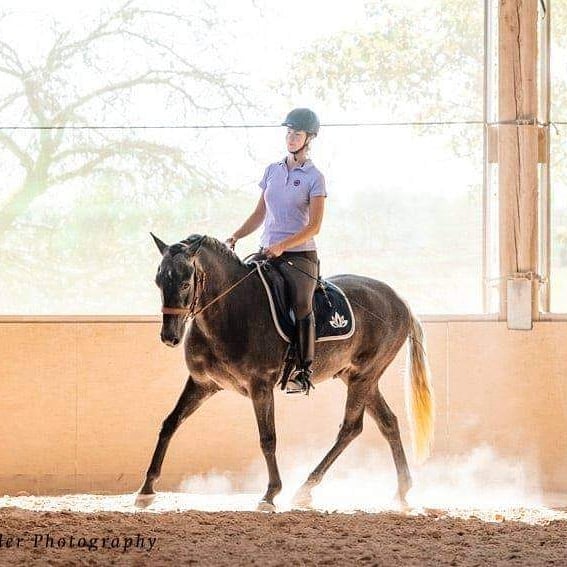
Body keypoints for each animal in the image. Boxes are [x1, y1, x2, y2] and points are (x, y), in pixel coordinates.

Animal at [136, 233, 434, 512]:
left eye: (186, 283)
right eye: (158, 281)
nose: (170, 337)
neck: (231, 311)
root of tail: (400, 300)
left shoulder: (260, 385)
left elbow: (268, 438)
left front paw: (270, 494)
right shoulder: (201, 383)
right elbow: (170, 424)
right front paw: (147, 489)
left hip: (364, 376)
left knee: (350, 427)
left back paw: (305, 488)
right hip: (357, 377)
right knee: (387, 422)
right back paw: (402, 491)